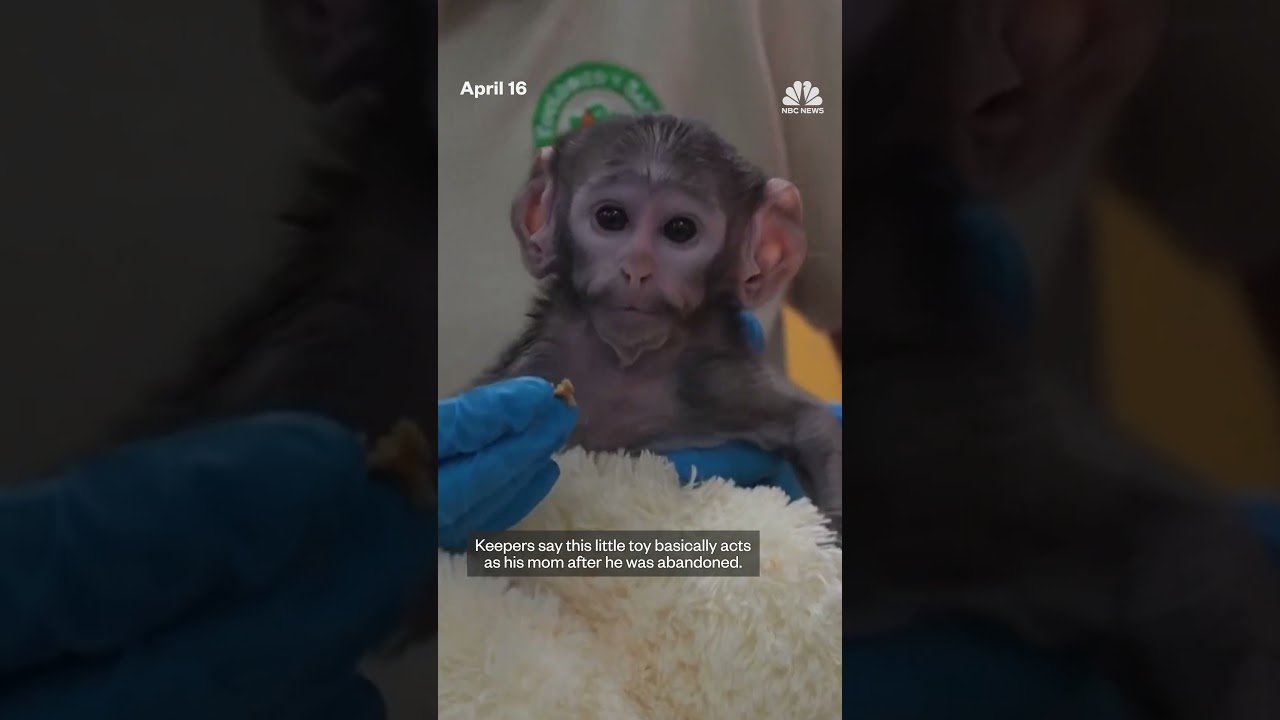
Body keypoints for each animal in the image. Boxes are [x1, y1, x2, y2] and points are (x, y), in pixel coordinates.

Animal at [469, 113, 844, 541]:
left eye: (679, 229)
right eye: (611, 218)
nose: (636, 269)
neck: (627, 368)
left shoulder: (715, 375)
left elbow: (815, 427)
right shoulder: (541, 366)